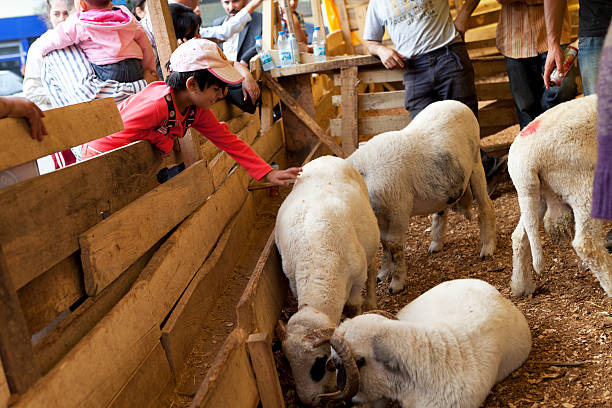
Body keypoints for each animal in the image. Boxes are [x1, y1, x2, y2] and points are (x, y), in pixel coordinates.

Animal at [274, 155, 380, 404]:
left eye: (319, 363)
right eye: (289, 364)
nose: (308, 401)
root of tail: (326, 157)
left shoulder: (356, 282)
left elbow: (354, 308)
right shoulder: (292, 282)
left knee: (372, 270)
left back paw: (372, 300)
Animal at [346, 100, 494, 294]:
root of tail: (456, 103)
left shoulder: (397, 214)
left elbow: (393, 246)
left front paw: (396, 284)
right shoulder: (383, 218)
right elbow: (384, 245)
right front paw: (383, 274)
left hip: (476, 163)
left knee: (486, 206)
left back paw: (488, 248)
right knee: (440, 213)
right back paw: (436, 244)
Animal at [506, 94, 612, 298]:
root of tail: (524, 162)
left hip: (534, 197)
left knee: (519, 236)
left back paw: (522, 286)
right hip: (583, 186)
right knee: (587, 245)